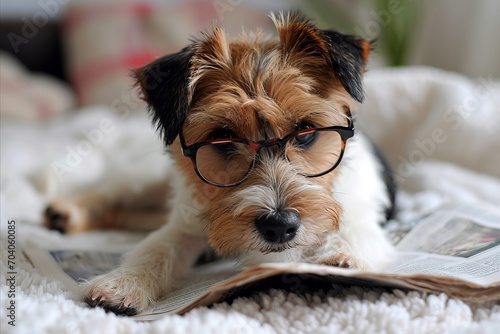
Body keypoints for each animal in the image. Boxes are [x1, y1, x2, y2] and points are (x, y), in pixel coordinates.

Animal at [45, 12, 396, 316]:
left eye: (306, 132)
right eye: (222, 141)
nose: (279, 225)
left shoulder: (362, 211)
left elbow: (354, 231)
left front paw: (339, 260)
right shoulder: (183, 226)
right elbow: (157, 247)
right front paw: (121, 283)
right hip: (144, 179)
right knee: (108, 193)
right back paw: (64, 212)